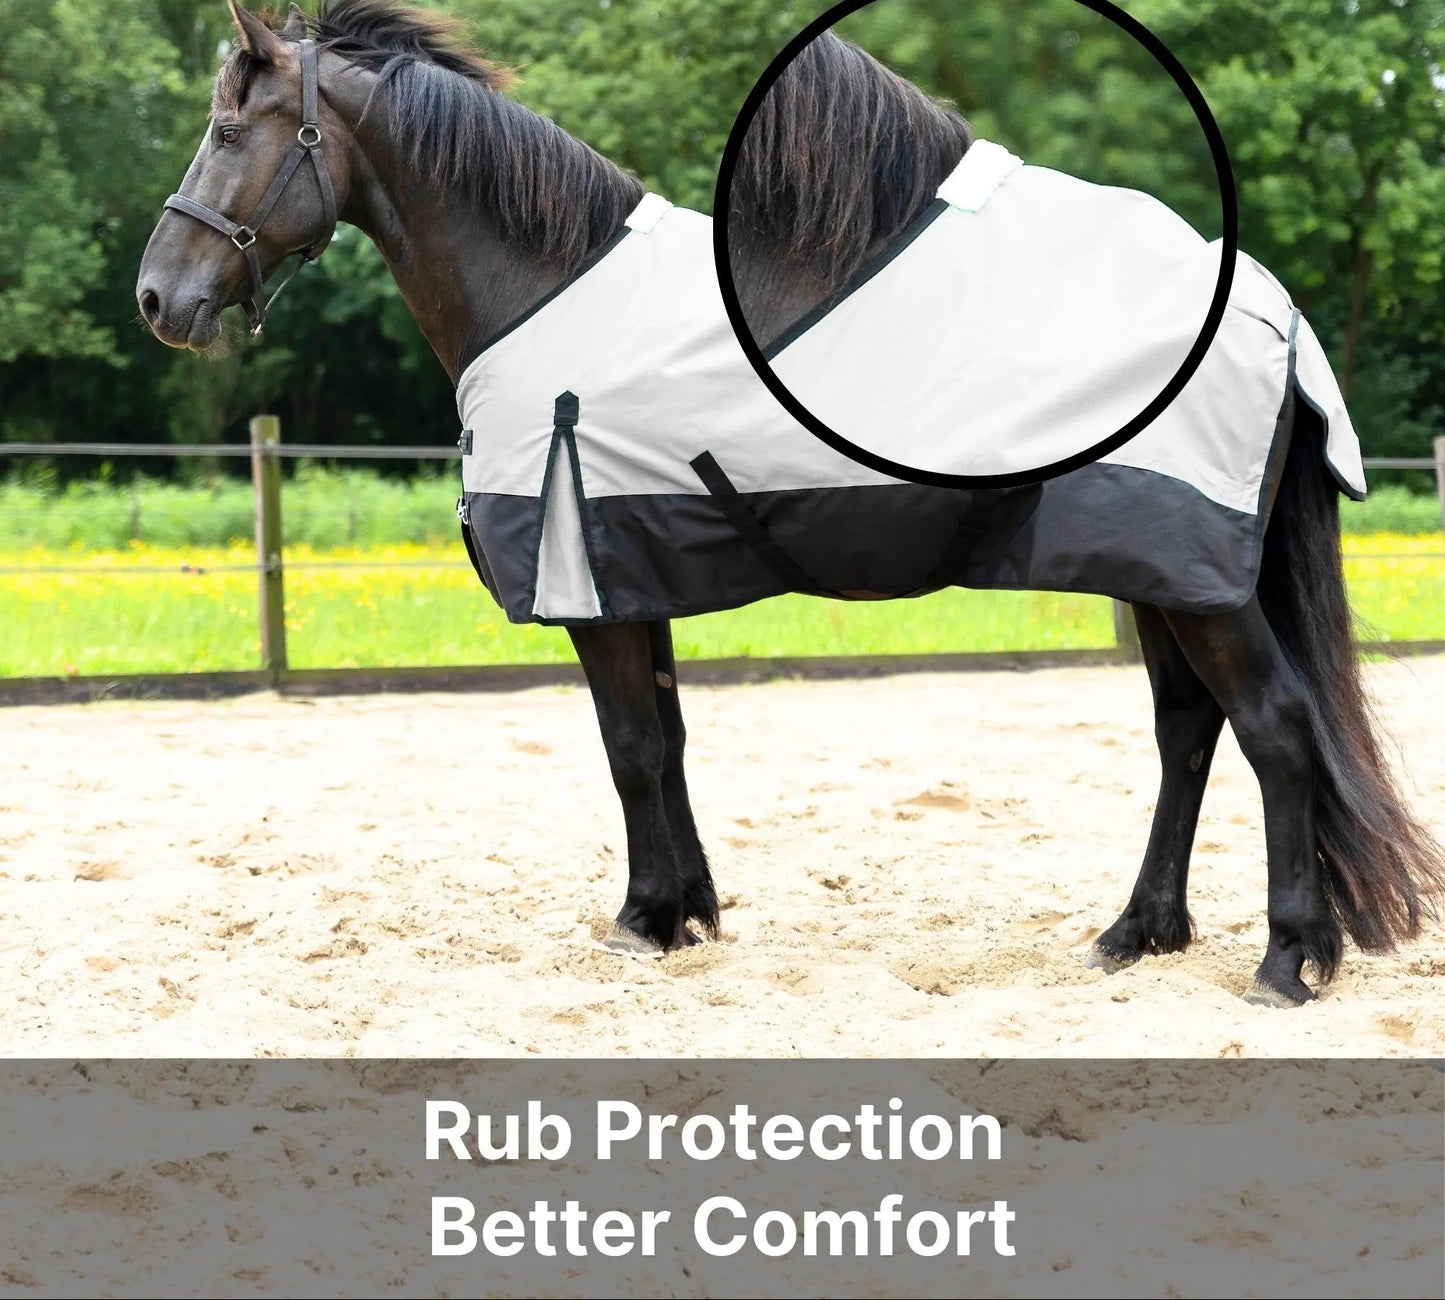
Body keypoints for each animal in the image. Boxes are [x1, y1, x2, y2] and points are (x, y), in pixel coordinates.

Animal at [135, 1, 1443, 1007]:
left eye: (227, 128)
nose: (158, 297)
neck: (541, 286)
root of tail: (1270, 308)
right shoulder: (633, 567)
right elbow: (663, 741)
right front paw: (688, 913)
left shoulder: (591, 579)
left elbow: (626, 747)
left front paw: (641, 920)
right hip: (1160, 571)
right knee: (1187, 731)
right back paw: (1133, 936)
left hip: (1193, 578)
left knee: (1273, 727)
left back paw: (1287, 960)